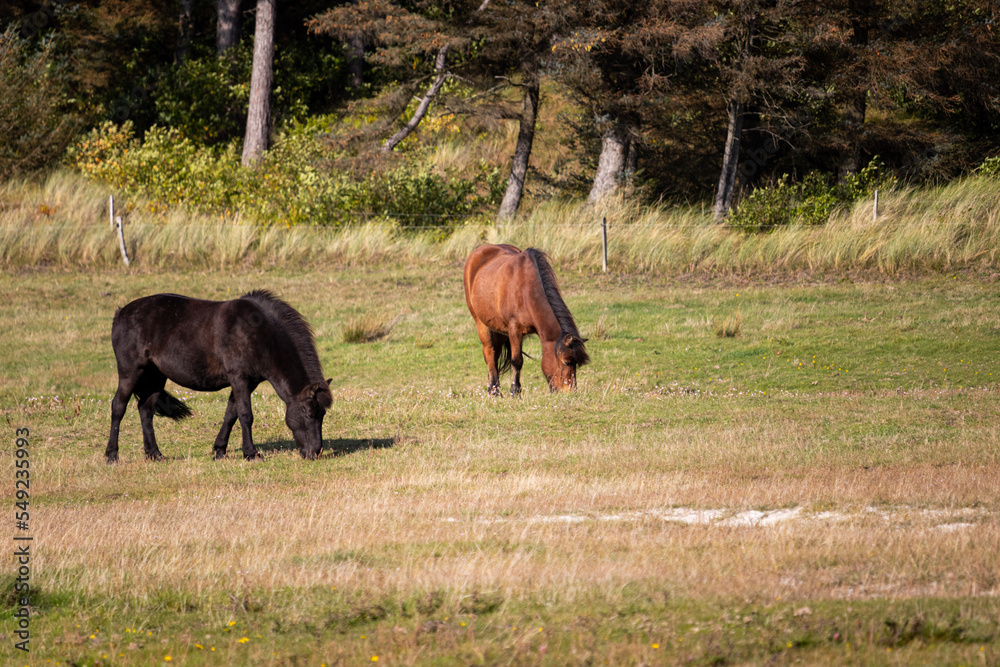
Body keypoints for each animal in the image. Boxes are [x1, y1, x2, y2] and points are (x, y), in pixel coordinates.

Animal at [105, 290, 332, 463]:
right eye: (310, 414)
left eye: (323, 415)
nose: (315, 452)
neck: (257, 334)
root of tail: (120, 313)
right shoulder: (239, 379)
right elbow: (246, 415)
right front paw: (251, 453)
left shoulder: (246, 383)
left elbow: (231, 415)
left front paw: (220, 451)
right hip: (130, 372)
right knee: (118, 407)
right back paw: (112, 455)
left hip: (156, 377)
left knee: (146, 410)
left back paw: (154, 454)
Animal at [463, 244, 590, 395]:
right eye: (567, 361)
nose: (571, 393)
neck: (526, 292)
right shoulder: (514, 330)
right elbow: (516, 361)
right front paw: (515, 392)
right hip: (482, 324)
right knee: (490, 353)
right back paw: (494, 391)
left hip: (498, 328)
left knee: (495, 354)